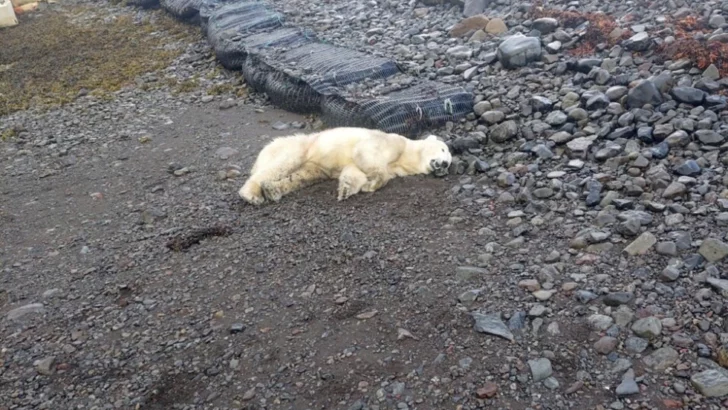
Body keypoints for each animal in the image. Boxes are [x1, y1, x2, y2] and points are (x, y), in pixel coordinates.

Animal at [238, 127, 452, 205]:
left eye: (449, 163)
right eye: (443, 150)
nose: (444, 165)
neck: (407, 155)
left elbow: (354, 171)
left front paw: (347, 189)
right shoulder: (391, 142)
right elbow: (366, 153)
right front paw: (373, 183)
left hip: (313, 166)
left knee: (302, 176)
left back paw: (273, 190)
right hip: (298, 147)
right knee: (282, 164)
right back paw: (251, 194)